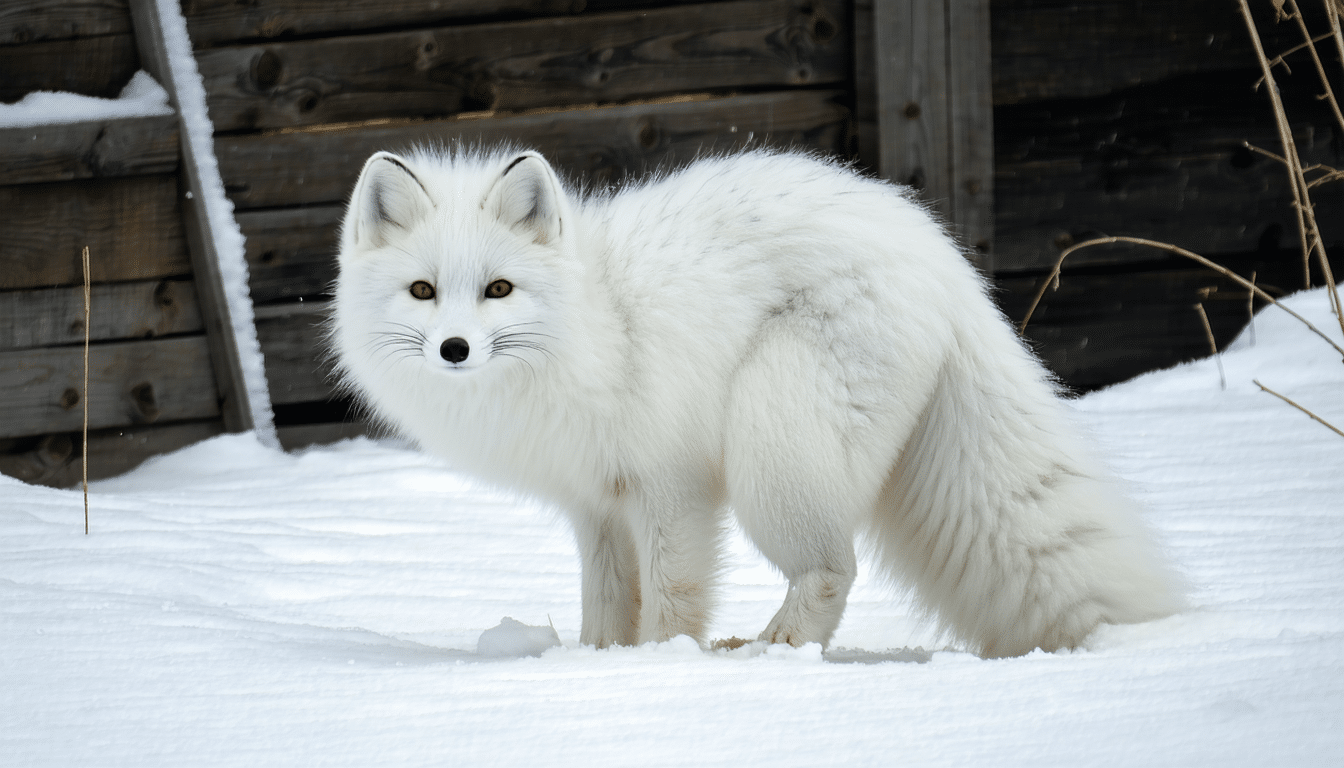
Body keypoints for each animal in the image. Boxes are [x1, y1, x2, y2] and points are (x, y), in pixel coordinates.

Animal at [330, 145, 1182, 657]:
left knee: (834, 567)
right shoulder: (596, 506)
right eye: (423, 291)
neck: (596, 319)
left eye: (499, 290)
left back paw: (774, 650)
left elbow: (672, 601)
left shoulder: (669, 489)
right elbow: (606, 609)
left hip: (768, 450)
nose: (454, 349)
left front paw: (663, 665)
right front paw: (600, 665)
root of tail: (947, 266)